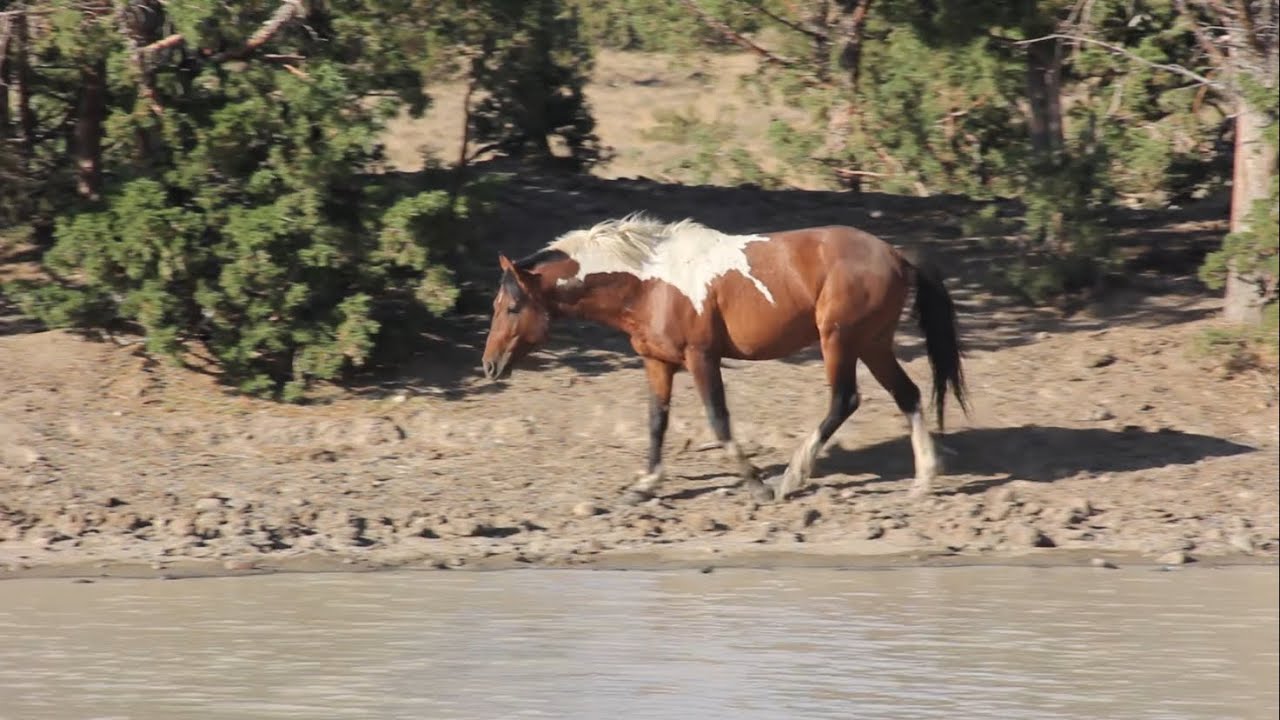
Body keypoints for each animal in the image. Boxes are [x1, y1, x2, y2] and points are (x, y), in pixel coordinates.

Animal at [480, 212, 969, 506]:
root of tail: (896, 255)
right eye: (496, 305)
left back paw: (791, 478)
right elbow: (656, 423)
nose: (489, 365)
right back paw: (923, 479)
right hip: (873, 343)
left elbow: (718, 421)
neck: (648, 283)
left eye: (512, 307)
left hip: (840, 340)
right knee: (907, 395)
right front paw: (643, 486)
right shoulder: (657, 362)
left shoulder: (701, 357)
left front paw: (755, 483)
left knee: (844, 400)